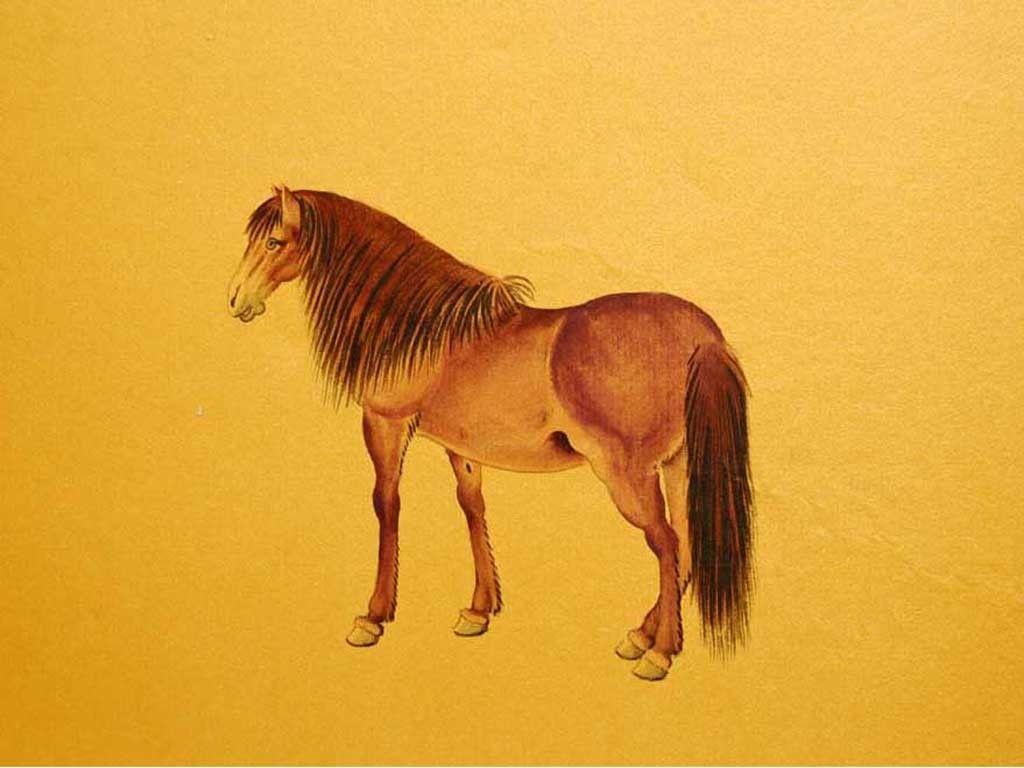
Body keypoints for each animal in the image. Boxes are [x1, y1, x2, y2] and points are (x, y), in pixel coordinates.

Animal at [227, 186, 753, 681]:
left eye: (274, 242)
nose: (236, 301)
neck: (424, 329)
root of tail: (703, 336)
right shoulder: (462, 447)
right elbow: (473, 507)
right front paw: (480, 609)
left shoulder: (385, 423)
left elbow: (387, 503)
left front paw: (373, 617)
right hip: (678, 463)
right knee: (685, 545)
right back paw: (641, 636)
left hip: (629, 474)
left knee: (666, 544)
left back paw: (658, 654)